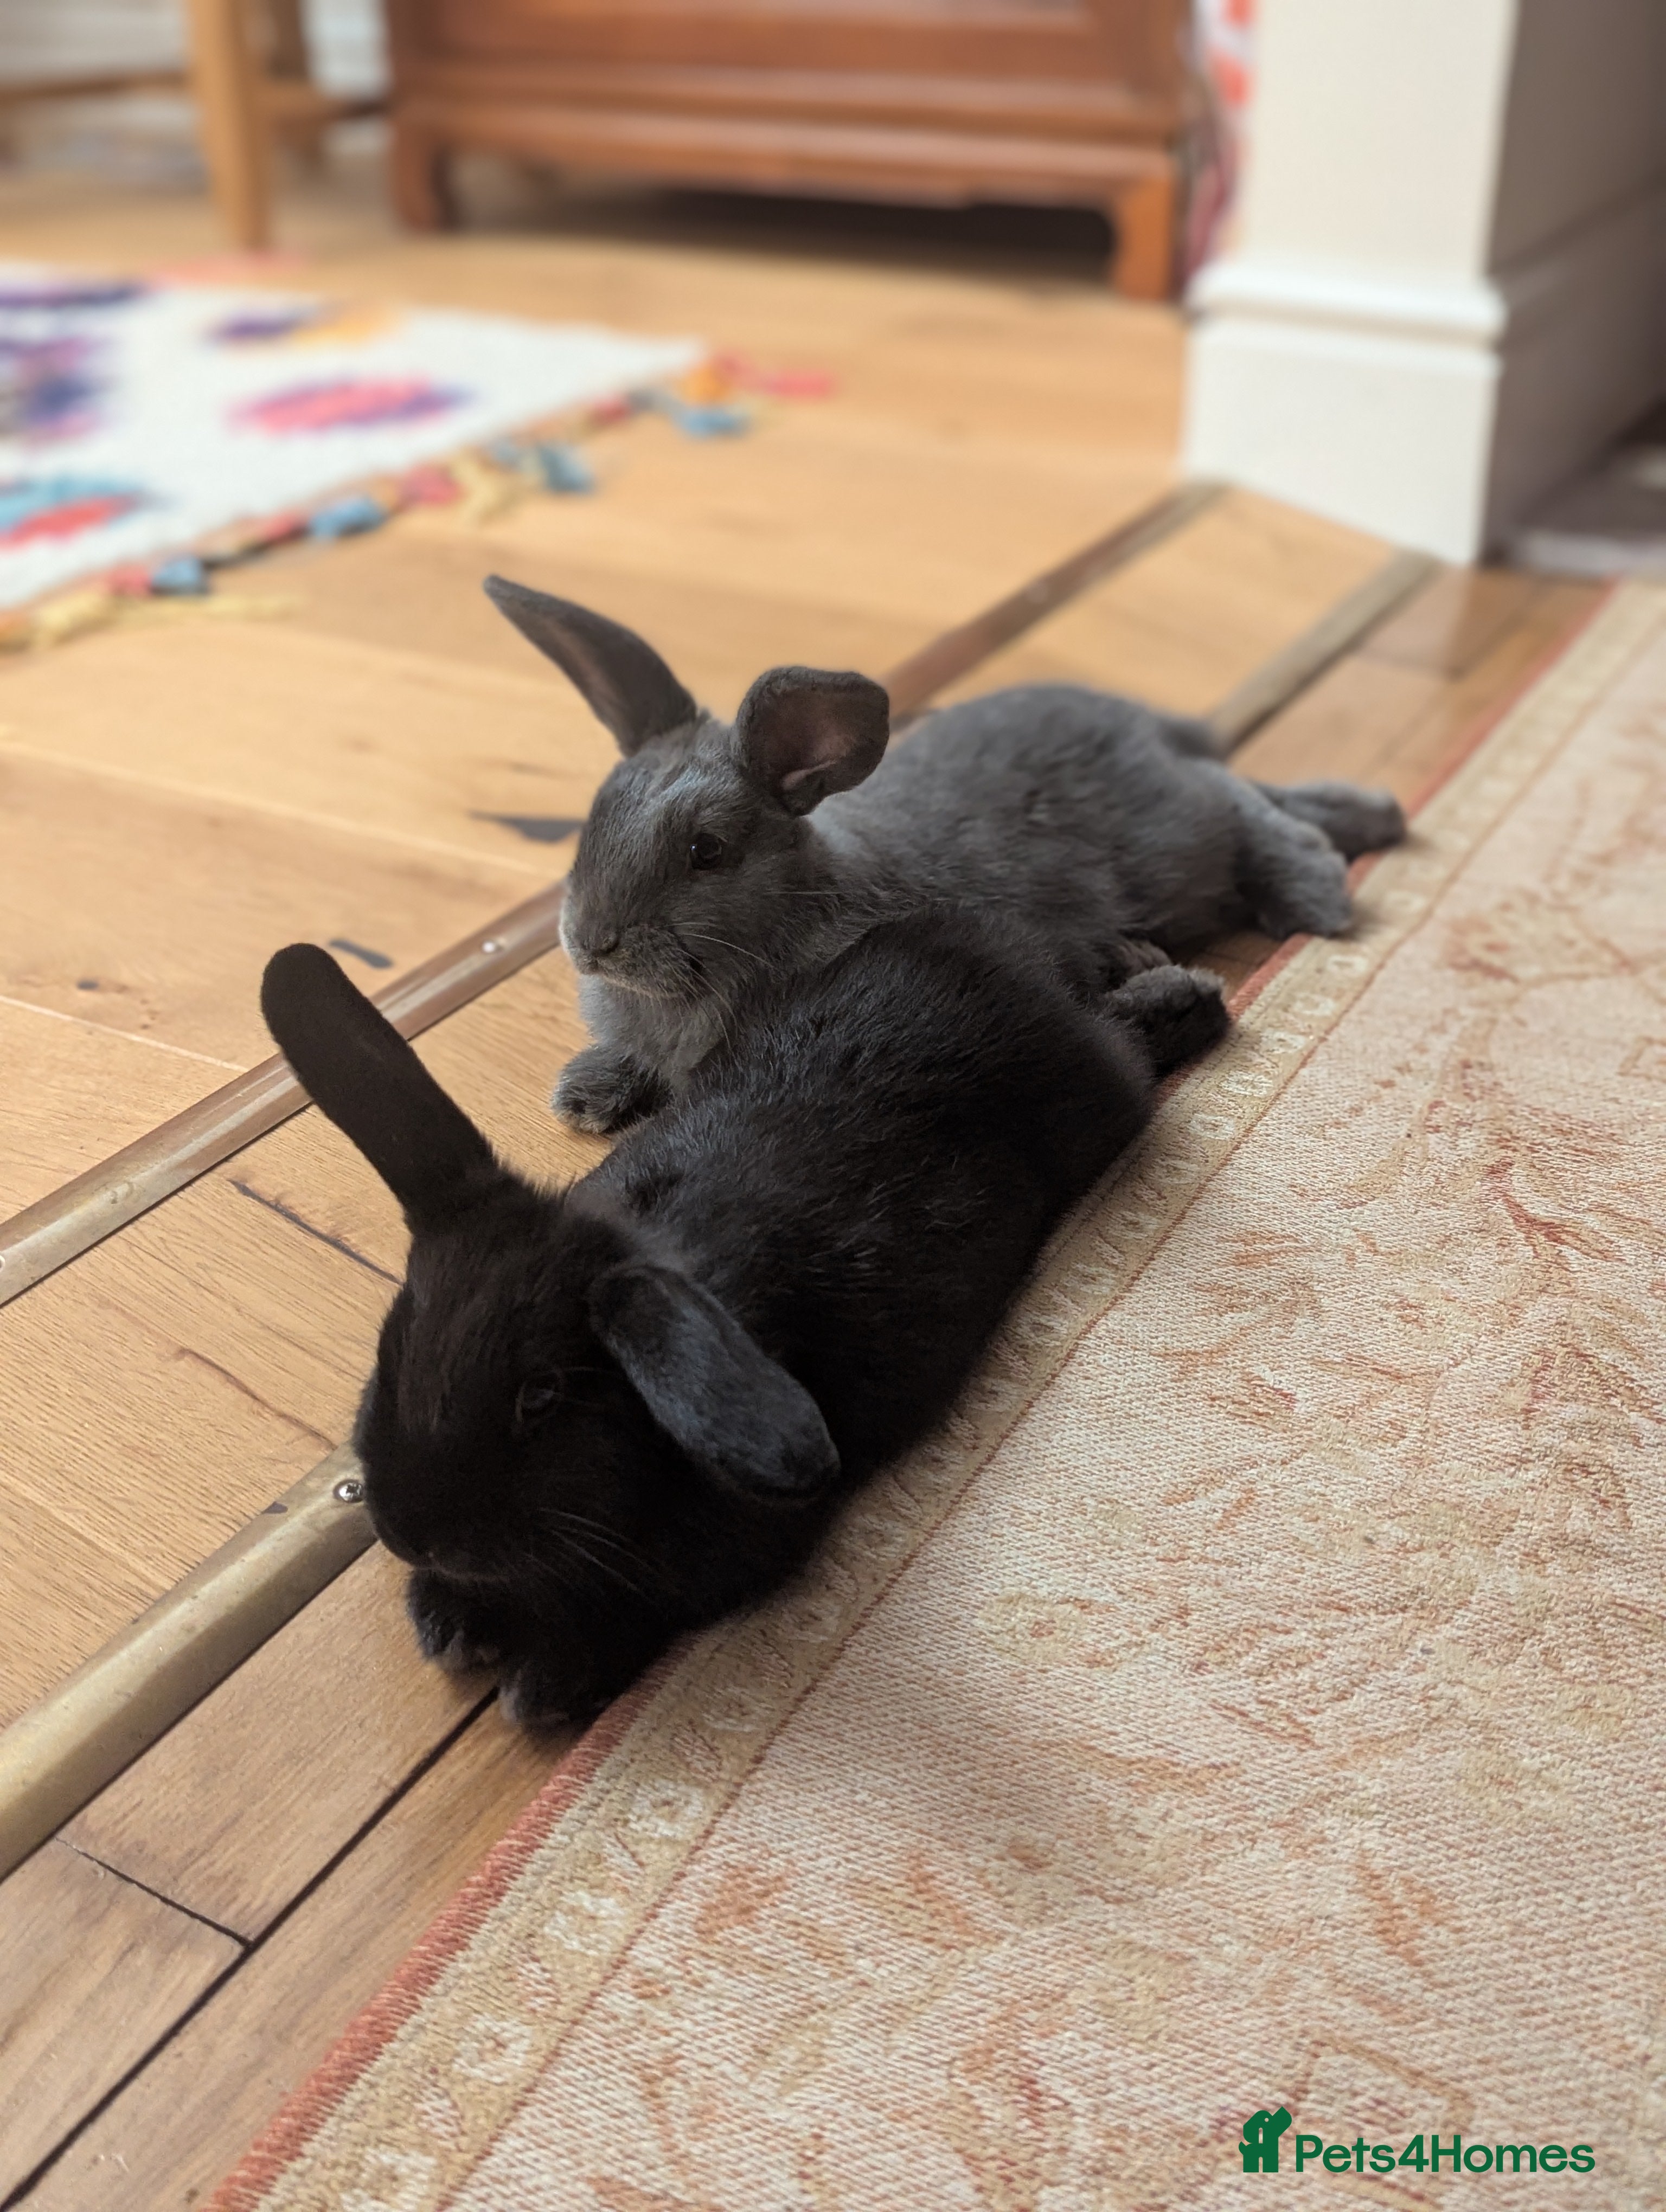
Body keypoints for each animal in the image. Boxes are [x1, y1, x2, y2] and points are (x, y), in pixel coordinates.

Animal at [260, 915, 1230, 1727]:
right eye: (391, 1349)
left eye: (542, 1397)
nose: (406, 1532)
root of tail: (983, 945)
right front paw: (446, 1615)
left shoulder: (721, 1559)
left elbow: (628, 1615)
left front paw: (543, 1680)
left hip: (1095, 1101)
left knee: (1132, 1037)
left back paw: (1173, 990)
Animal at [483, 576, 1406, 1135]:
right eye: (594, 817)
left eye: (706, 850)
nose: (588, 943)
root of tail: (1150, 724)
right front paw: (587, 1095)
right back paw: (1375, 823)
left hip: (1177, 836)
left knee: (1242, 801)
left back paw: (1319, 891)